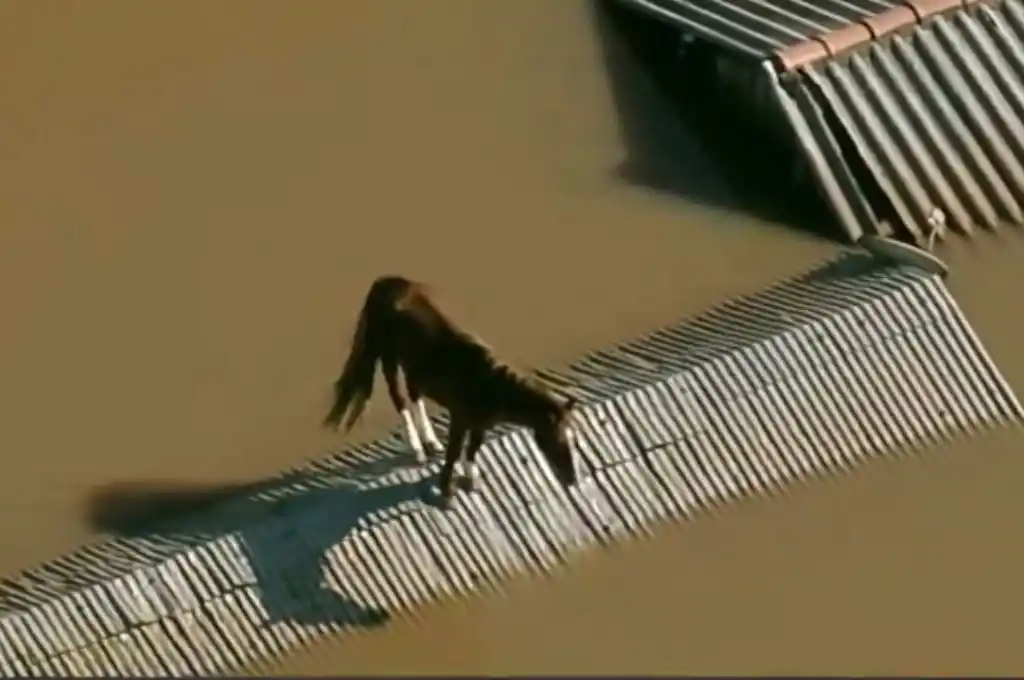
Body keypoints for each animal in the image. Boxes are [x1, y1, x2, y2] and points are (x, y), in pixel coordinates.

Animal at [323, 275, 580, 508]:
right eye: (558, 441)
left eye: (573, 439)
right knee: (400, 398)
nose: (572, 481)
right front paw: (447, 492)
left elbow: (473, 449)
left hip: (412, 365)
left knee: (414, 394)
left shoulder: (480, 424)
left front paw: (471, 478)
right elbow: (454, 451)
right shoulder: (460, 418)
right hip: (388, 357)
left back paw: (431, 441)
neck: (489, 386)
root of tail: (384, 282)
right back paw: (418, 449)